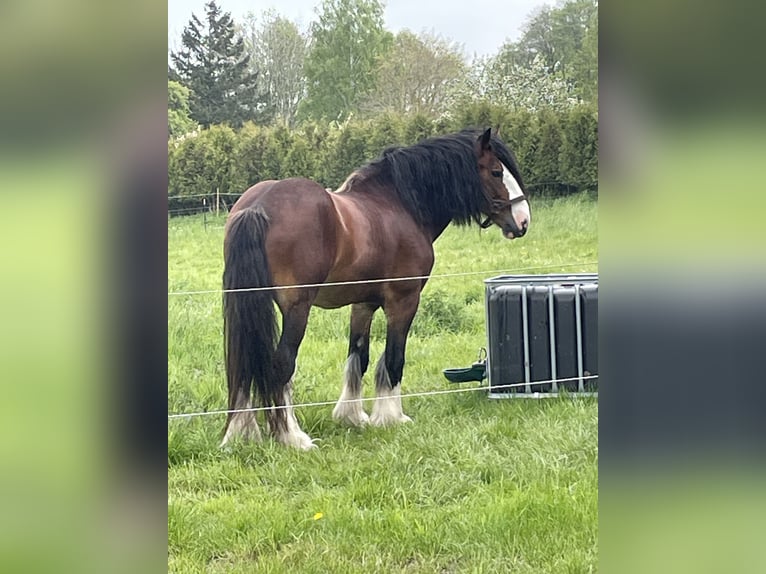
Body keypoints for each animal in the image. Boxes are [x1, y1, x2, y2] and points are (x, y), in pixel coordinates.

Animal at [219, 128, 532, 452]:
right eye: (496, 172)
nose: (523, 220)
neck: (398, 205)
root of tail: (259, 205)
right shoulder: (404, 301)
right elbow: (394, 358)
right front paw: (391, 417)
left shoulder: (363, 304)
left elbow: (359, 358)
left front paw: (352, 416)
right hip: (297, 310)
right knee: (281, 366)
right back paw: (293, 437)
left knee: (240, 364)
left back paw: (240, 433)